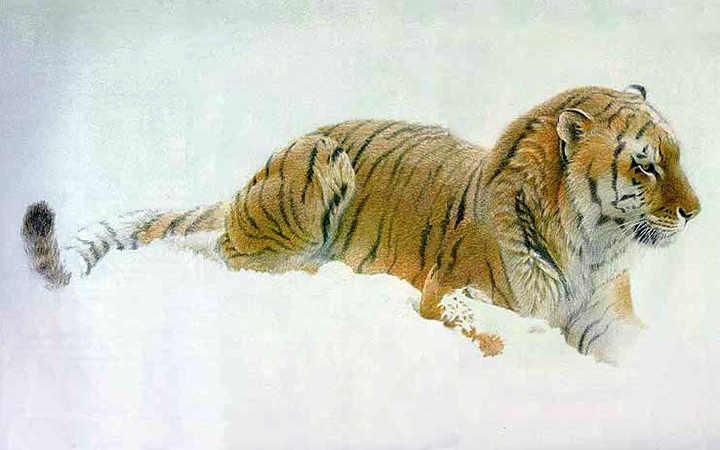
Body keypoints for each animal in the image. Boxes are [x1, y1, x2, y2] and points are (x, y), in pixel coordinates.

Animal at [22, 84, 700, 363]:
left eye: (676, 156)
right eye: (644, 165)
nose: (695, 212)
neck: (592, 248)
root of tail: (245, 182)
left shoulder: (610, 315)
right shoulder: (450, 293)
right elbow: (497, 333)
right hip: (317, 168)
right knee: (231, 255)